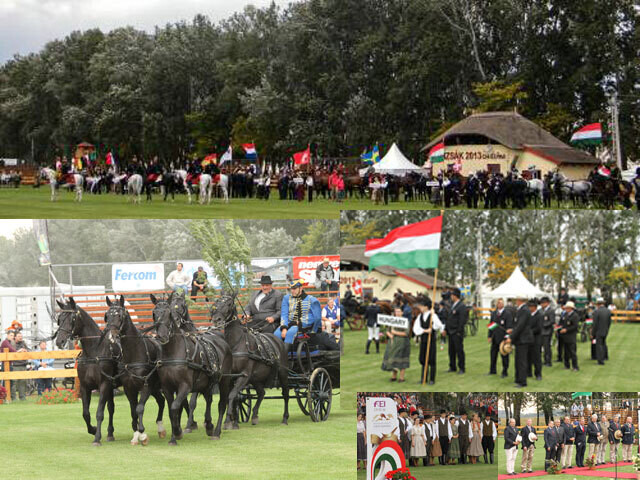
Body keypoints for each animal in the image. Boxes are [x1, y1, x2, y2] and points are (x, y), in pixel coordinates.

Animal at [54, 296, 118, 446]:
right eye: (60, 318)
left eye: (72, 318)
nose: (60, 341)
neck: (93, 352)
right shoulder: (85, 387)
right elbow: (85, 413)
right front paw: (93, 430)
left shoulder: (104, 385)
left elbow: (99, 412)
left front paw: (97, 438)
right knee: (111, 408)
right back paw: (110, 433)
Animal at [152, 290, 232, 444]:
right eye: (154, 313)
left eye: (168, 313)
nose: (162, 336)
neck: (173, 352)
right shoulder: (167, 388)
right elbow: (172, 410)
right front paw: (174, 436)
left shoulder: (186, 386)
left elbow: (176, 406)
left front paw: (178, 432)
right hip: (208, 382)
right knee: (209, 400)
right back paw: (209, 425)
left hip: (224, 381)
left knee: (221, 405)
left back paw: (216, 431)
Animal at [210, 290, 290, 430]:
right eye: (217, 302)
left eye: (229, 303)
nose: (216, 319)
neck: (236, 343)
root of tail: (278, 341)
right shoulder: (231, 377)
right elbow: (235, 397)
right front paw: (234, 421)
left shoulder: (244, 375)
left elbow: (232, 395)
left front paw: (228, 420)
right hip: (256, 378)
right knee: (261, 392)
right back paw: (254, 416)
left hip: (282, 373)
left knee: (285, 394)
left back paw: (285, 418)